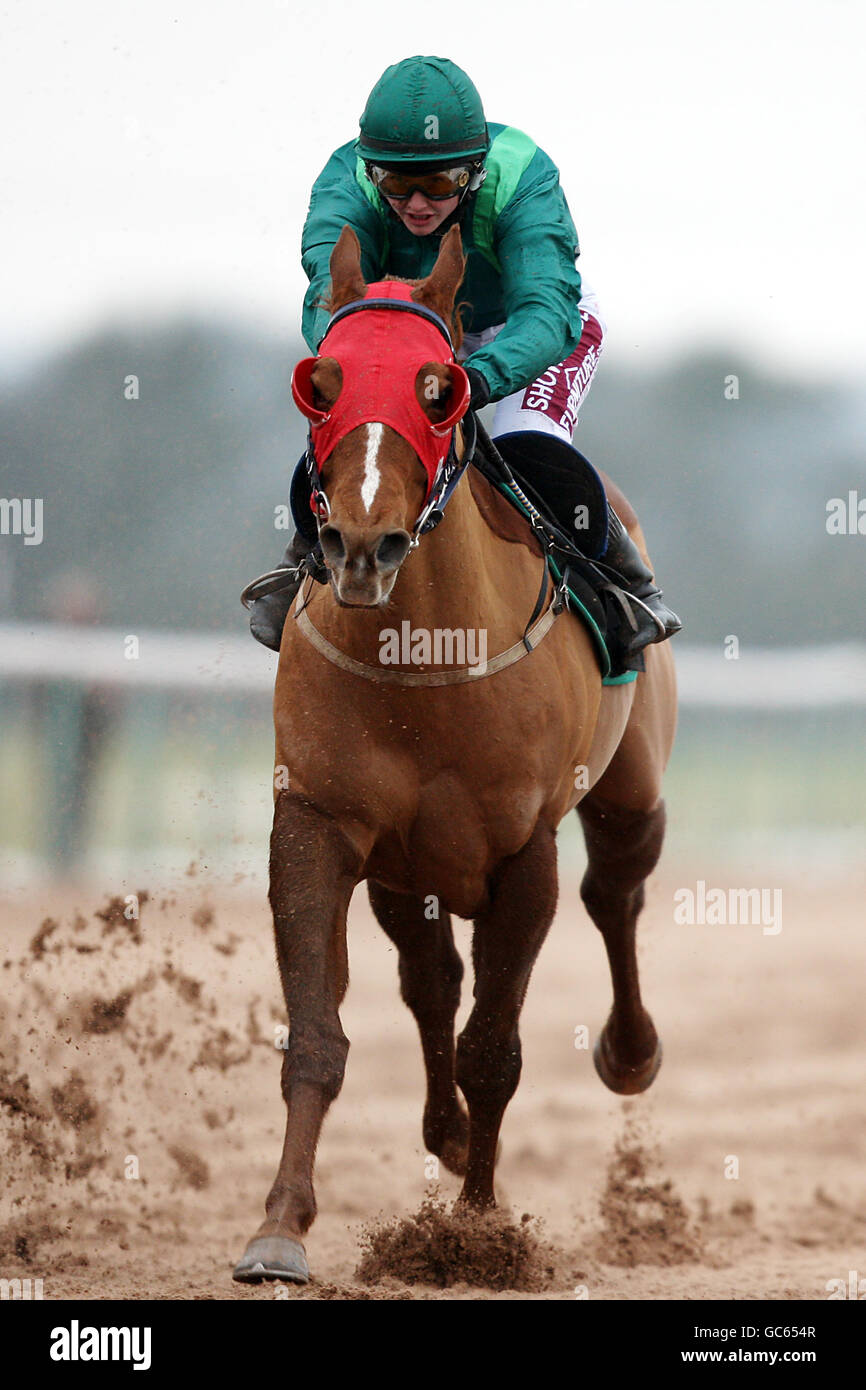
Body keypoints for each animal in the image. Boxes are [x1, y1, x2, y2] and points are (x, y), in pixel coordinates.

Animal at [233, 225, 681, 1278]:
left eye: (439, 388)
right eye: (322, 382)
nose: (362, 545)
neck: (424, 659)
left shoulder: (525, 853)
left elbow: (496, 1050)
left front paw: (475, 1233)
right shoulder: (318, 820)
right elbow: (317, 1033)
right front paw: (280, 1227)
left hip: (631, 786)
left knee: (615, 891)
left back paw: (629, 1051)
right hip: (410, 869)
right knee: (429, 980)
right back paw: (443, 1131)